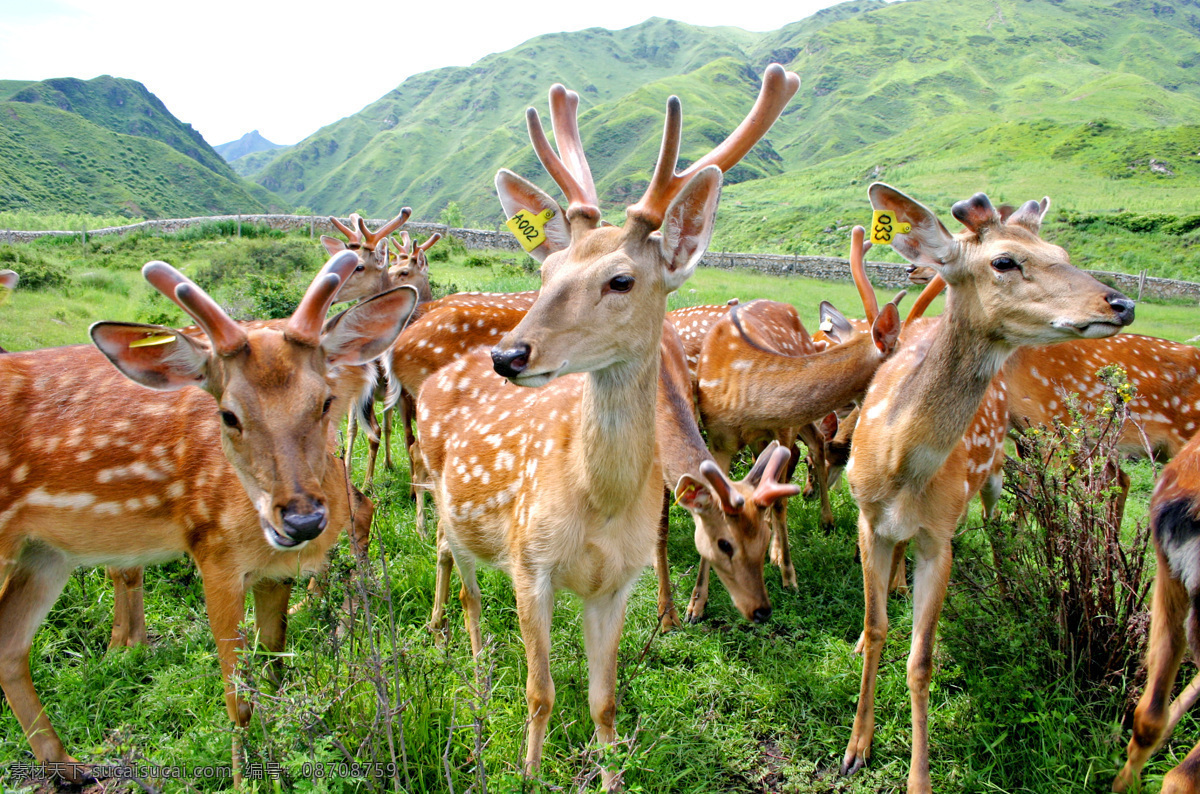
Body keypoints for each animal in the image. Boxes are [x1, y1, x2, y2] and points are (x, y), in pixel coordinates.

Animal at [0, 253, 417, 782]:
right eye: (229, 415)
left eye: (323, 401)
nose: (302, 521)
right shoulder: (214, 552)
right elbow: (240, 695)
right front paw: (246, 777)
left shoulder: (268, 568)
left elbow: (273, 666)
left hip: (43, 552)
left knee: (9, 645)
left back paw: (71, 767)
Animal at [417, 65, 801, 786]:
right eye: (545, 270)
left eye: (620, 279)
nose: (509, 355)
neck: (596, 502)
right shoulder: (529, 562)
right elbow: (540, 693)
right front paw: (529, 772)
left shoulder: (615, 584)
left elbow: (604, 701)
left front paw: (613, 772)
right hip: (442, 497)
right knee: (459, 579)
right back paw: (469, 662)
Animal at [840, 183, 1137, 791]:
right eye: (1004, 261)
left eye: (1064, 252)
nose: (1120, 304)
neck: (902, 469)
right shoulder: (866, 516)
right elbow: (878, 628)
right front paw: (856, 747)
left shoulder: (941, 536)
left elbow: (921, 659)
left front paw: (918, 777)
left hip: (997, 474)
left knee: (1000, 530)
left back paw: (1002, 593)